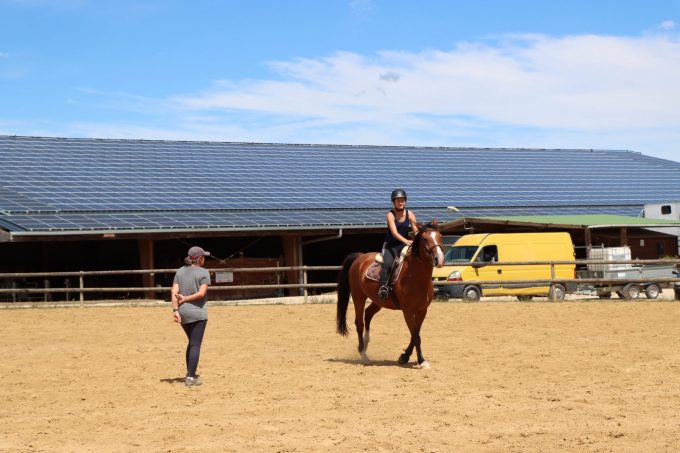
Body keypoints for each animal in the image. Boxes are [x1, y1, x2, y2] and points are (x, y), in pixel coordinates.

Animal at [336, 222, 446, 368]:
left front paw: (404, 357)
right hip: (358, 297)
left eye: (440, 236)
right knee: (359, 323)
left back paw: (366, 343)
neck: (415, 275)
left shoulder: (422, 310)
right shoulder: (407, 311)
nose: (439, 259)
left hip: (378, 301)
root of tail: (360, 257)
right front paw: (422, 361)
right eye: (424, 239)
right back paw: (363, 354)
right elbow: (416, 336)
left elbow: (415, 334)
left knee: (368, 314)